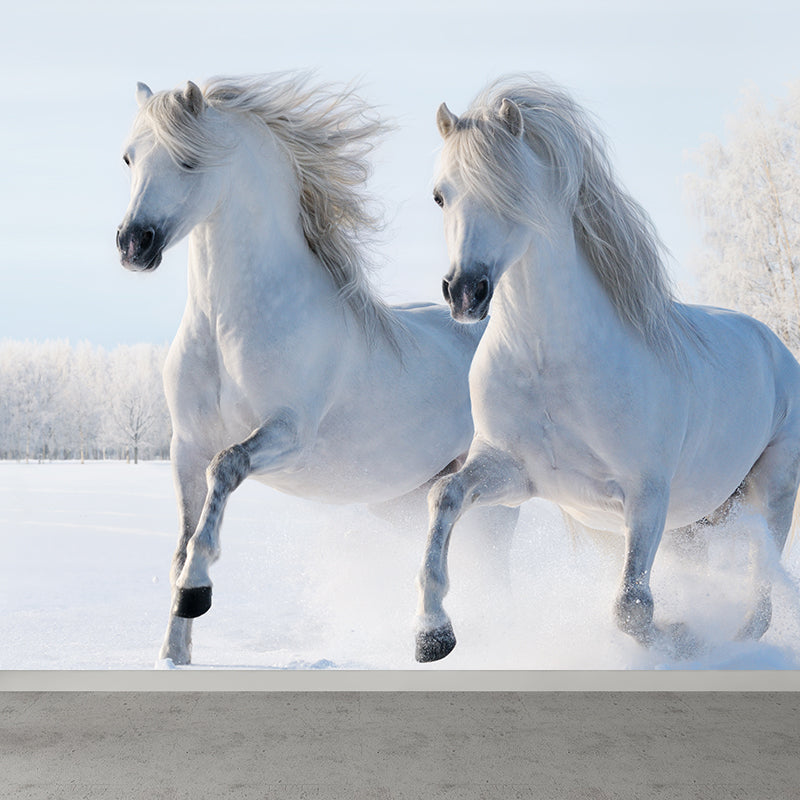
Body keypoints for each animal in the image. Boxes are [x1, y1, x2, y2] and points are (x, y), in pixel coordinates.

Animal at [116, 73, 518, 667]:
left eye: (188, 160)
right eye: (129, 157)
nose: (133, 244)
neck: (227, 326)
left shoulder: (288, 433)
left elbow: (224, 470)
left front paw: (196, 593)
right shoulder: (184, 445)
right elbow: (182, 541)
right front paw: (174, 654)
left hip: (496, 496)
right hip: (402, 499)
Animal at [414, 75, 800, 663]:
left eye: (512, 192)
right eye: (441, 194)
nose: (465, 292)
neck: (550, 363)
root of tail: (775, 347)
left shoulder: (646, 496)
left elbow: (632, 607)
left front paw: (680, 638)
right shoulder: (514, 473)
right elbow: (444, 496)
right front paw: (432, 634)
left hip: (771, 493)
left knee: (758, 605)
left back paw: (723, 644)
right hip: (692, 525)